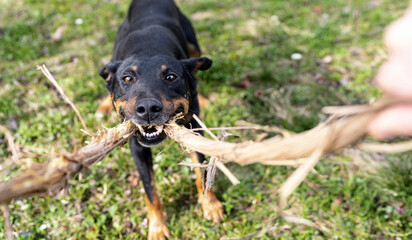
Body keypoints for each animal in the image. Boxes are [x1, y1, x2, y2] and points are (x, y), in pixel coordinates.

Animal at [98, 0, 224, 239]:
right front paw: (157, 228)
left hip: (194, 47)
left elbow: (201, 168)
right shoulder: (137, 147)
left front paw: (210, 205)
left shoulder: (194, 129)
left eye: (171, 76)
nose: (148, 108)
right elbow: (150, 190)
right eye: (126, 78)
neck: (148, 49)